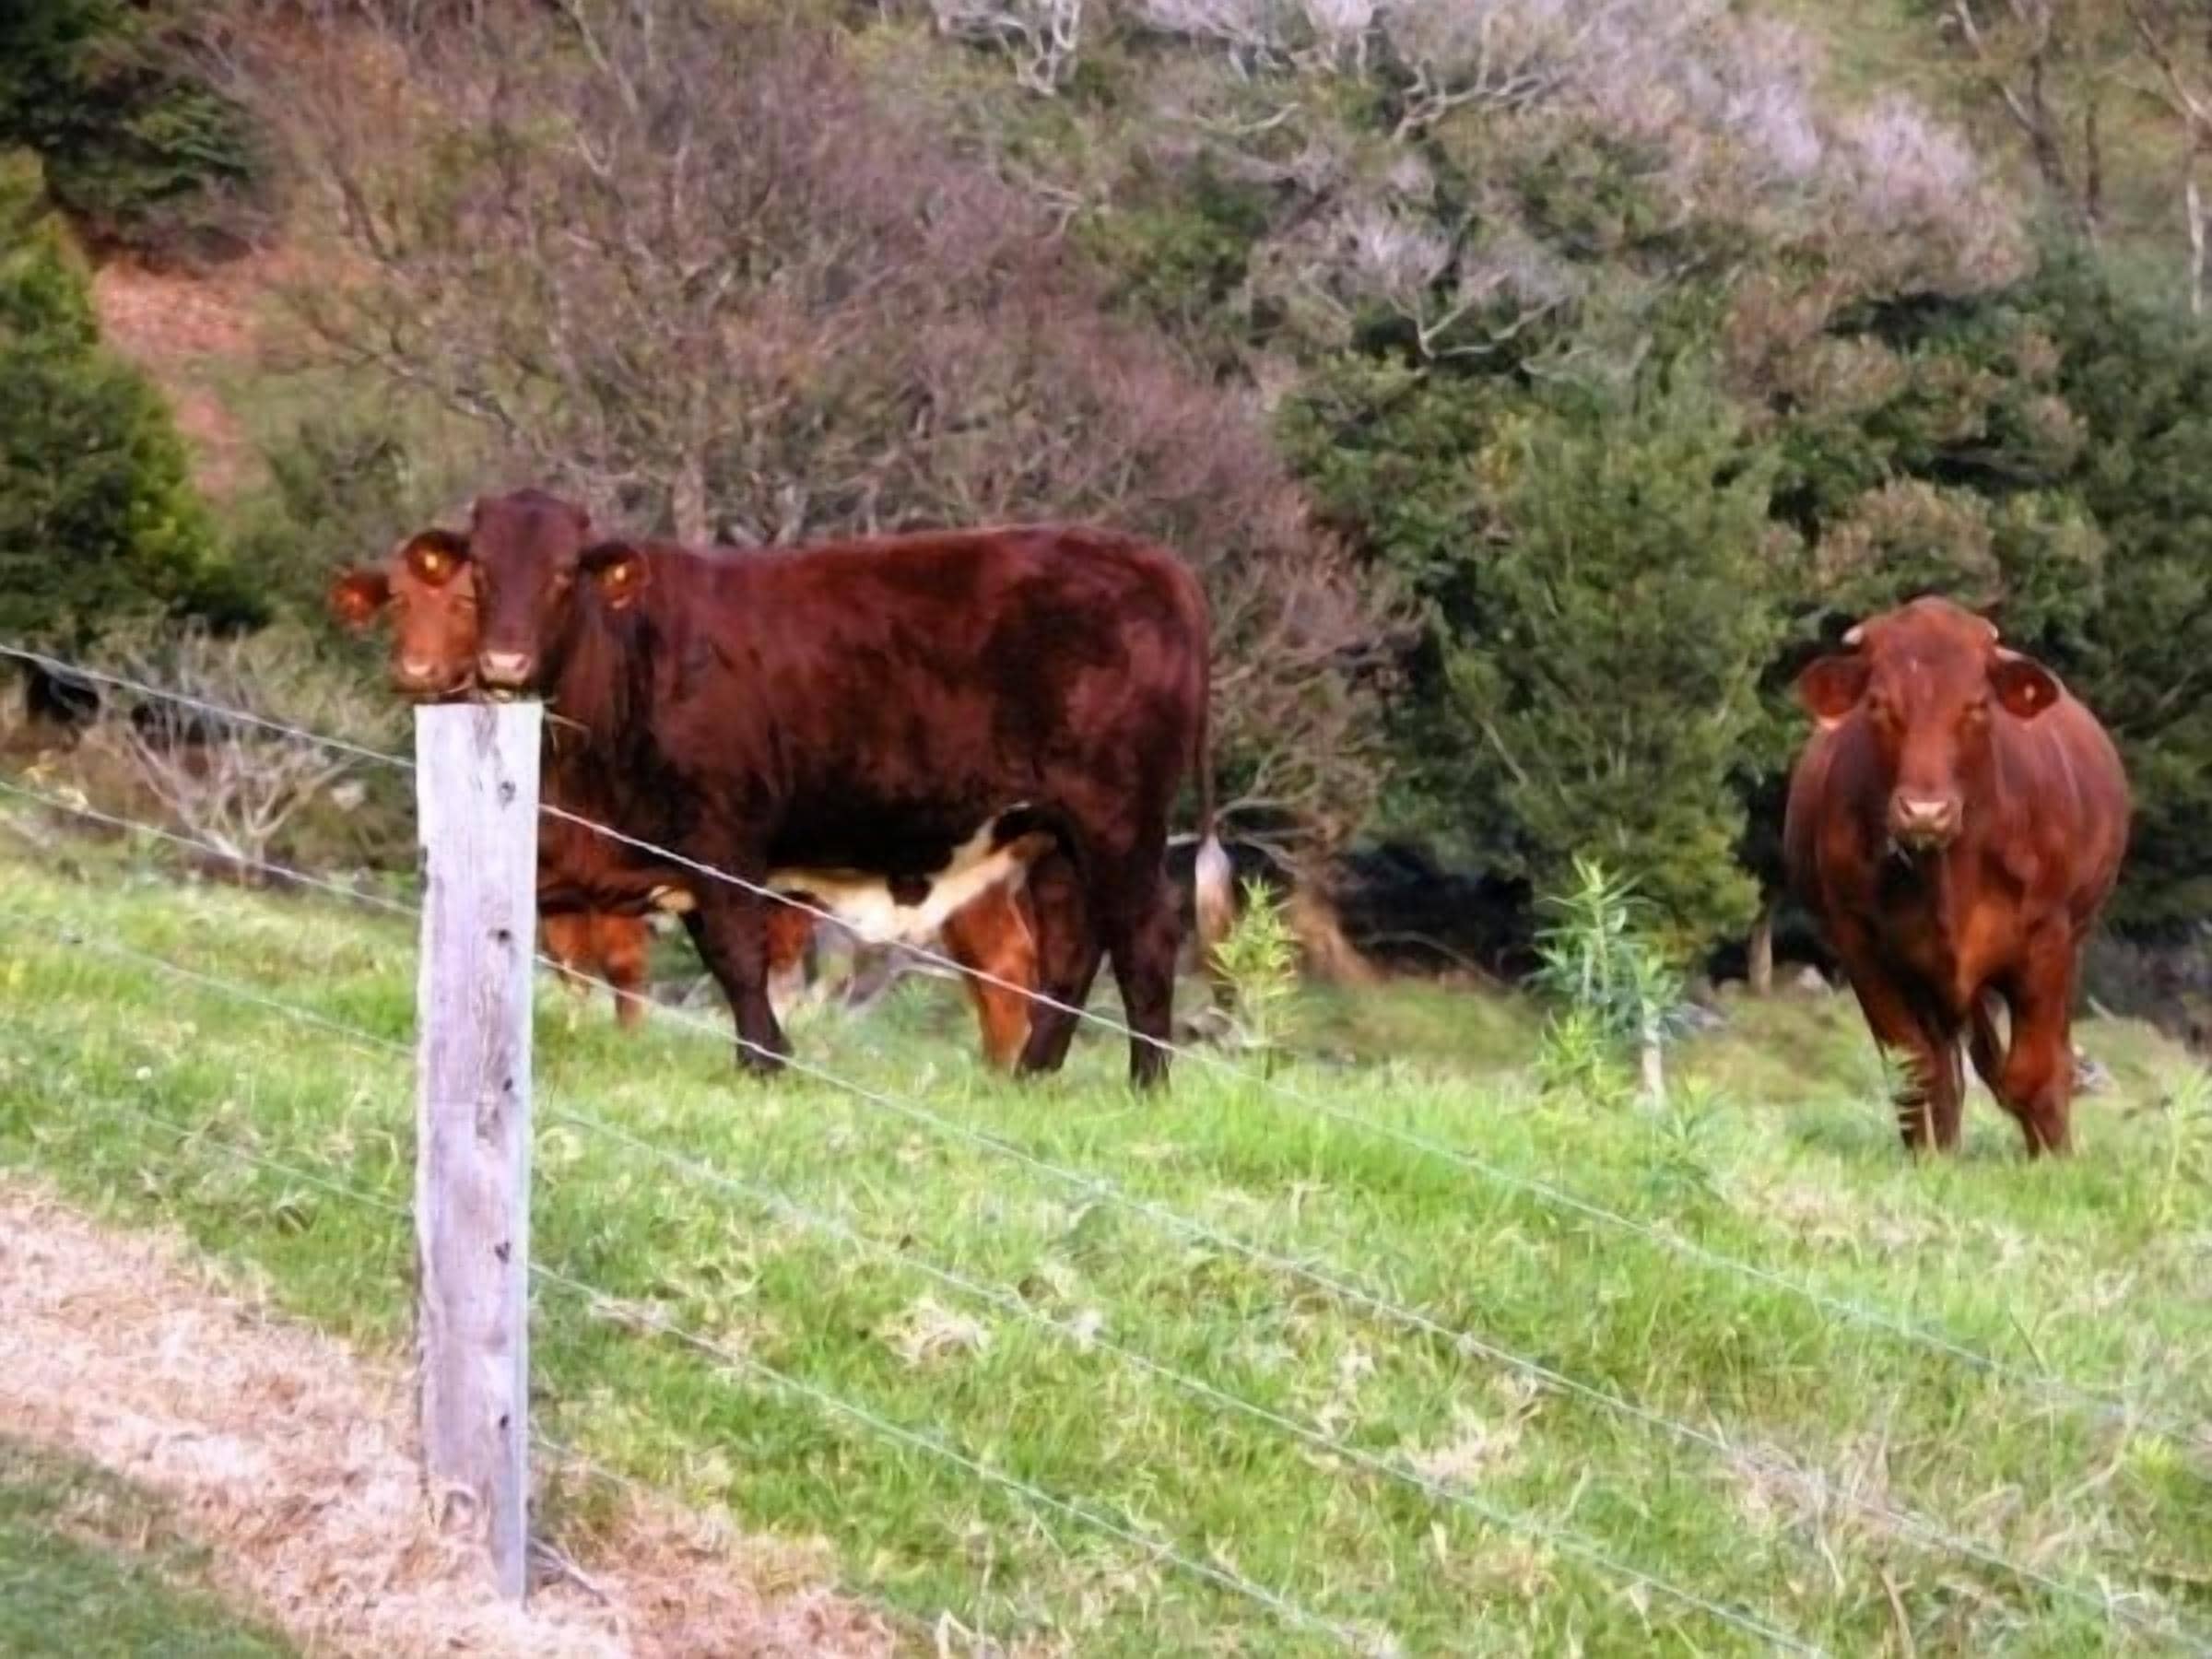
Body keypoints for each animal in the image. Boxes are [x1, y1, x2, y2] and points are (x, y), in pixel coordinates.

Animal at [329, 541, 1051, 1068]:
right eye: (397, 601)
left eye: (464, 601)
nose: (417, 671)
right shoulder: (560, 885)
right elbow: (569, 968)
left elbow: (622, 968)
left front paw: (626, 1040)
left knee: (1004, 964)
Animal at [419, 487, 1231, 1089]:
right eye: (480, 573)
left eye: (563, 574)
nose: (504, 662)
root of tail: (1151, 560)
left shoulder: (721, 835)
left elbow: (735, 953)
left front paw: (762, 1062)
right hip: (1057, 832)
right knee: (1073, 944)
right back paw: (1031, 1075)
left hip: (1119, 818)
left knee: (1144, 937)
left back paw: (1148, 1084)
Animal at [1783, 597, 2129, 1157]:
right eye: (1878, 704)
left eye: (1977, 706)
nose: (1926, 812)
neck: (1950, 877)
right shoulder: (1862, 949)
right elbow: (1916, 1070)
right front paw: (1929, 1163)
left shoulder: (2047, 944)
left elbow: (2035, 1072)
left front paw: (2054, 1163)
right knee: (1953, 1072)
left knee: (2038, 1063)